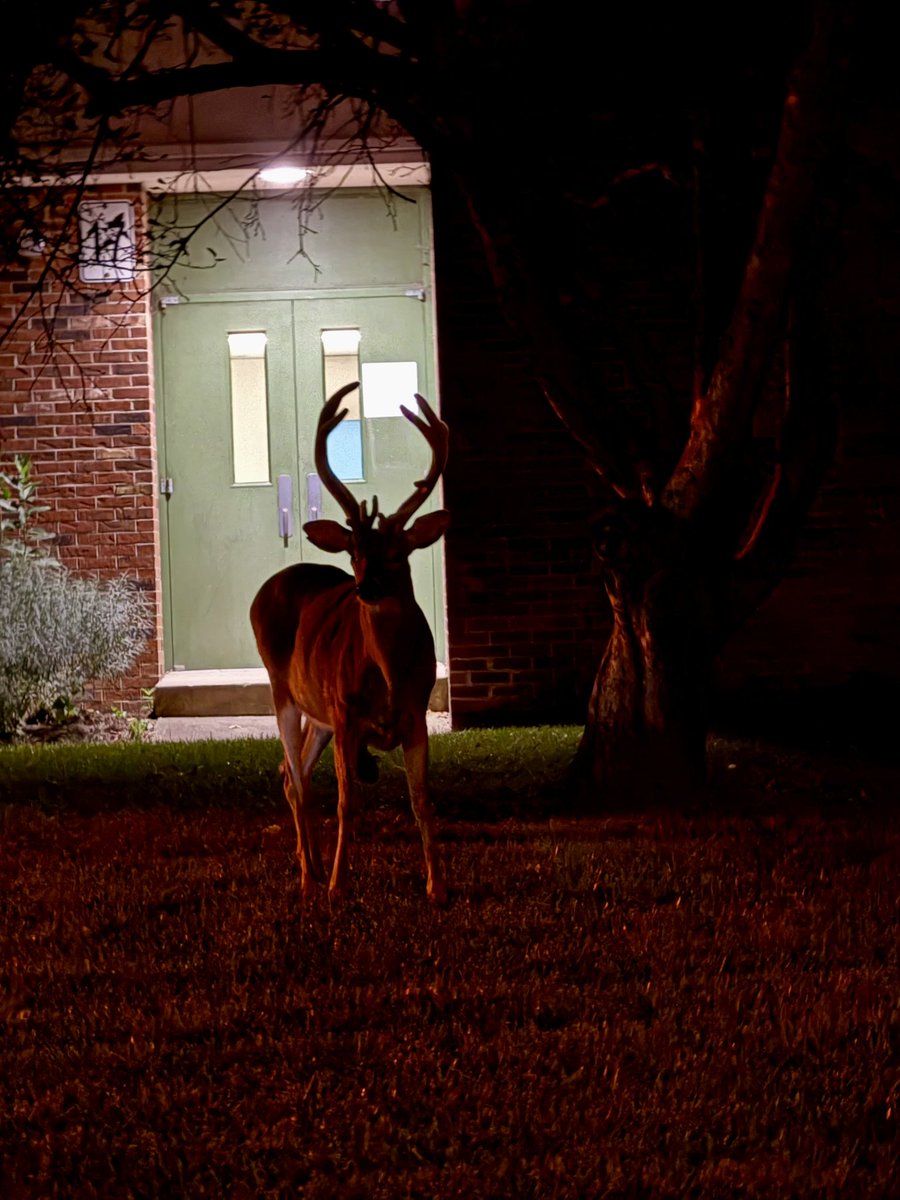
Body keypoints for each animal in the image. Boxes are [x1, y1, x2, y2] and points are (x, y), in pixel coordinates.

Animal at [250, 382, 450, 904]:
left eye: (399, 552)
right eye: (355, 552)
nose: (366, 588)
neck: (389, 675)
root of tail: (268, 586)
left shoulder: (415, 714)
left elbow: (422, 799)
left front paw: (437, 886)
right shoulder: (345, 714)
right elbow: (347, 801)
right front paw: (341, 885)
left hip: (317, 712)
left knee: (291, 771)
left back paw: (313, 866)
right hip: (283, 689)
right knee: (296, 780)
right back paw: (309, 878)